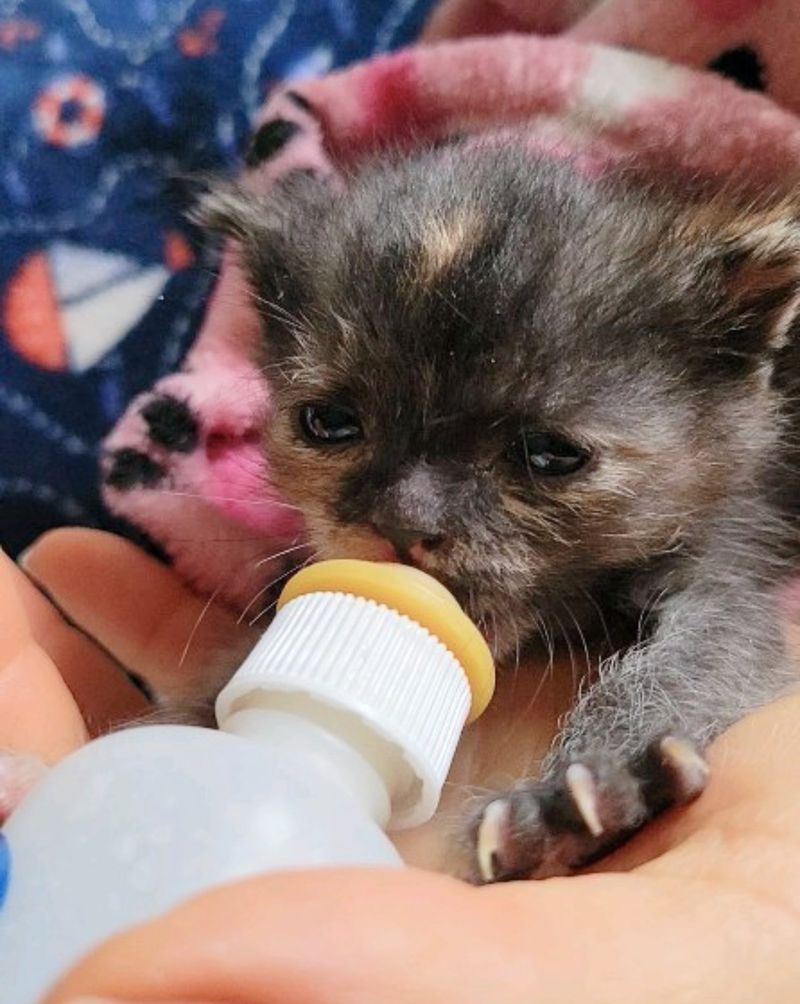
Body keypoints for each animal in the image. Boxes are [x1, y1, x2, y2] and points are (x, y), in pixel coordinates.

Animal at [202, 145, 798, 883]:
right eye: (329, 423)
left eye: (548, 453)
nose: (404, 520)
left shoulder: (729, 564)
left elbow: (696, 661)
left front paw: (574, 802)